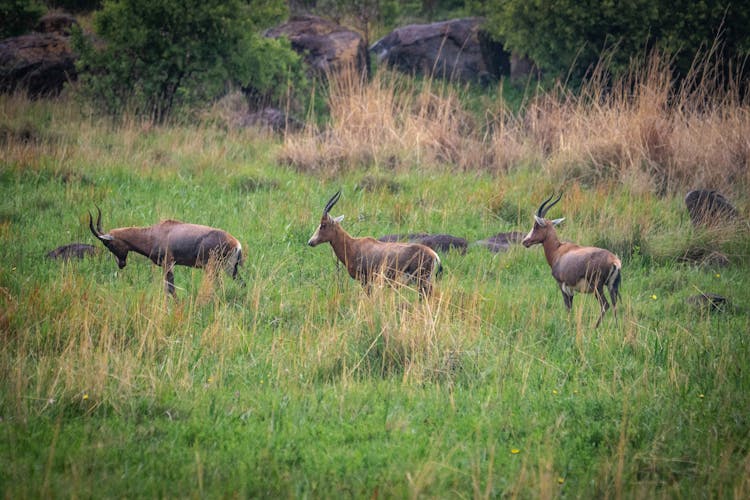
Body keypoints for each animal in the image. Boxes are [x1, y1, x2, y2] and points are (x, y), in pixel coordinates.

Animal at [87, 206, 244, 294]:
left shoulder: (168, 263)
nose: (121, 264)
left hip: (217, 268)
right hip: (229, 269)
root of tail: (236, 243)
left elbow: (171, 288)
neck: (156, 232)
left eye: (109, 244)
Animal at [308, 191, 444, 296]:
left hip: (422, 281)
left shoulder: (365, 281)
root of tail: (434, 255)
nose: (310, 242)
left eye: (323, 225)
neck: (354, 245)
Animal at [524, 194, 624, 328]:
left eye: (536, 225)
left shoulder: (562, 285)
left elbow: (567, 306)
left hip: (598, 288)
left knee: (605, 305)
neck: (559, 250)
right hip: (612, 287)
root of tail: (614, 261)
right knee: (614, 305)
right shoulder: (571, 289)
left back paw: (595, 327)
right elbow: (570, 306)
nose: (525, 241)